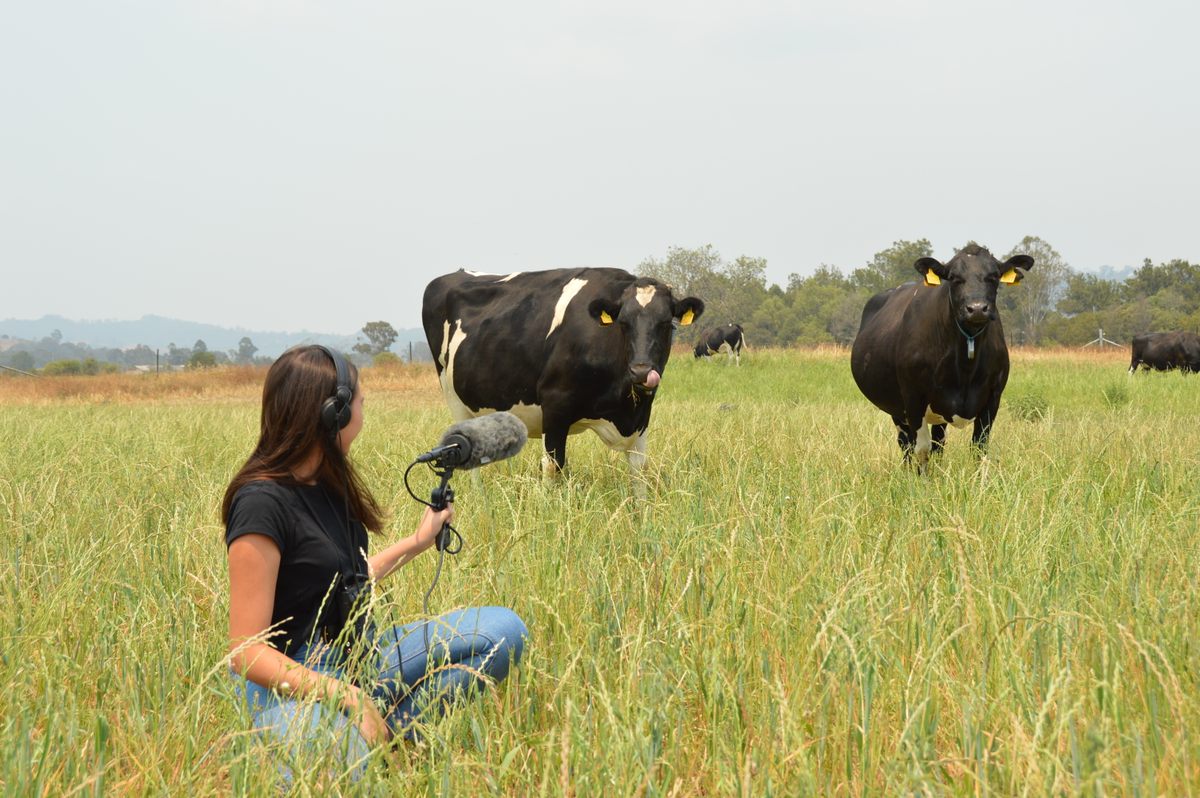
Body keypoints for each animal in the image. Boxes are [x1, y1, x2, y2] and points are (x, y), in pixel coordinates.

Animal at [422, 266, 700, 480]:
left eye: (666, 324)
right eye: (623, 323)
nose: (641, 371)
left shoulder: (642, 415)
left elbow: (639, 468)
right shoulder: (554, 406)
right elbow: (552, 466)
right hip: (454, 400)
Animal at [849, 242, 1036, 468]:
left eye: (993, 276)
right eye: (954, 277)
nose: (977, 309)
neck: (965, 368)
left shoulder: (993, 397)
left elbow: (979, 447)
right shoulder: (913, 398)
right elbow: (921, 449)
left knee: (938, 443)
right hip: (897, 409)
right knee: (906, 444)